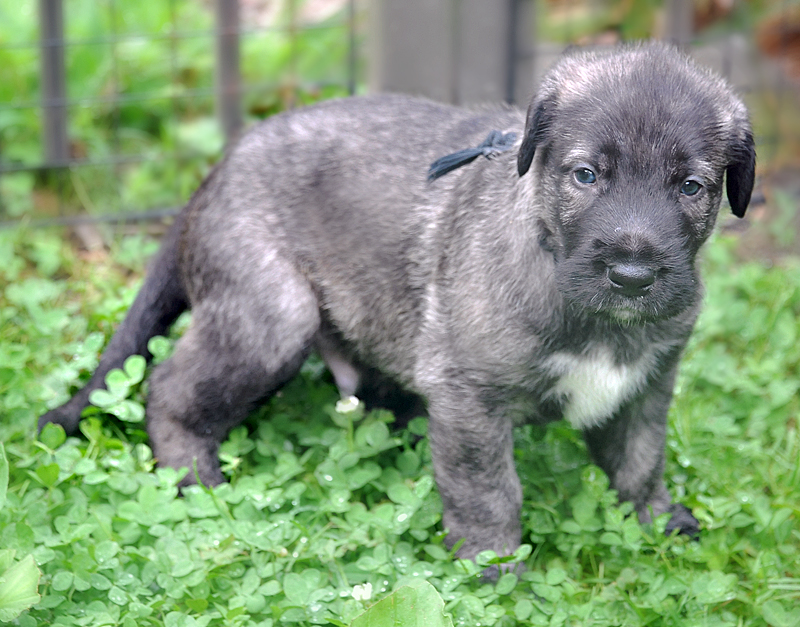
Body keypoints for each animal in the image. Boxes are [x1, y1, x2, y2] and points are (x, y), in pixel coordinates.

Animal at [40, 43, 756, 564]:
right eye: (586, 175)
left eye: (692, 187)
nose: (633, 275)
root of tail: (213, 175)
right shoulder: (470, 401)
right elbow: (488, 492)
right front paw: (492, 570)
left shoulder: (646, 385)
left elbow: (639, 462)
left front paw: (659, 521)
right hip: (270, 317)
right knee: (170, 387)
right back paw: (194, 480)